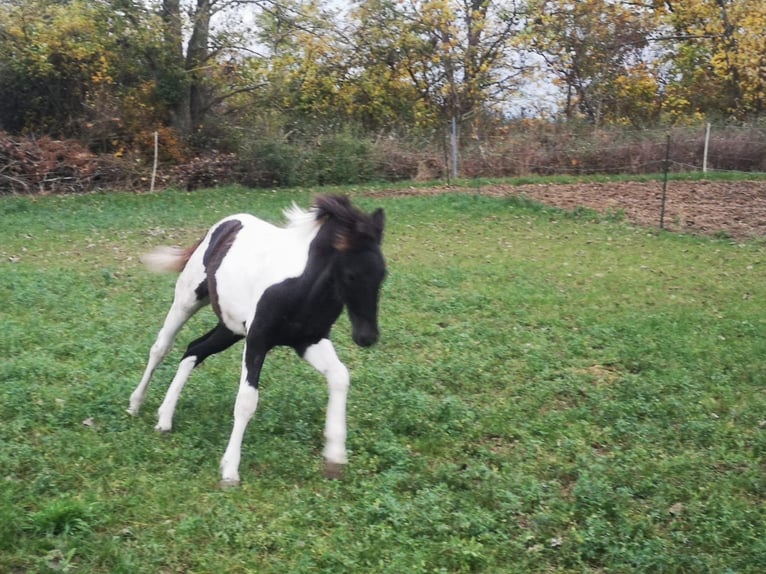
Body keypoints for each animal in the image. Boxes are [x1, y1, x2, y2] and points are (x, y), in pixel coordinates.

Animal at [129, 195, 390, 486]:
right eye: (351, 275)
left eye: (383, 274)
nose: (367, 337)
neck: (302, 288)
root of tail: (224, 225)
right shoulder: (257, 340)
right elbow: (246, 400)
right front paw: (230, 470)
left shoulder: (309, 341)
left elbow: (340, 376)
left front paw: (335, 457)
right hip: (188, 300)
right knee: (161, 347)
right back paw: (136, 404)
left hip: (230, 328)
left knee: (193, 349)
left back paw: (164, 418)